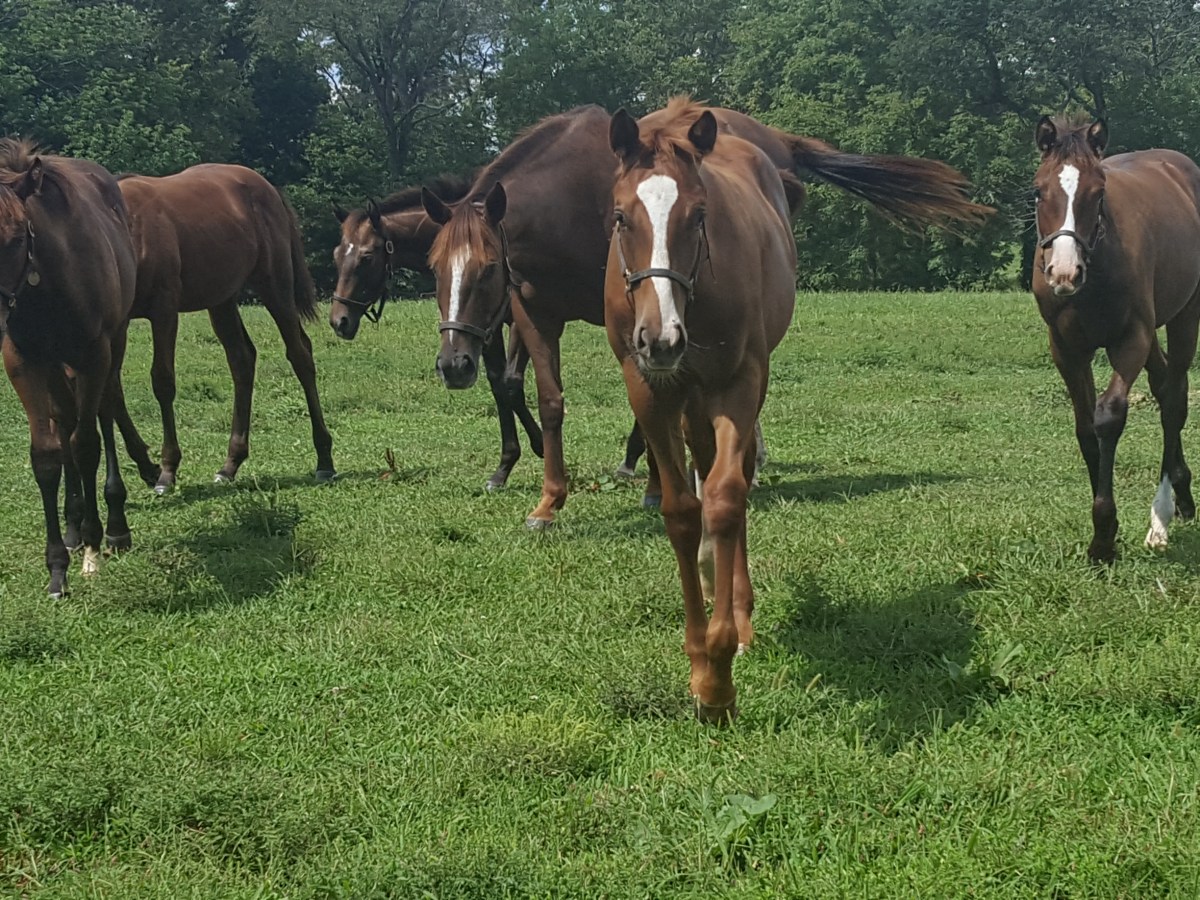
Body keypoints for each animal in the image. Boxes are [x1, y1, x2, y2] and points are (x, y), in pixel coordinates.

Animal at [0, 139, 145, 596]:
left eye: (15, 238)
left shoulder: (93, 354)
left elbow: (86, 445)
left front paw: (94, 549)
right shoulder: (23, 361)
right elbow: (47, 455)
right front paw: (57, 566)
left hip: (112, 344)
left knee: (103, 412)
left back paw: (113, 525)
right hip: (54, 366)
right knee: (63, 421)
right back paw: (72, 524)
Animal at [116, 164, 335, 490]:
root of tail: (267, 187)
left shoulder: (164, 310)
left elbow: (162, 382)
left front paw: (167, 469)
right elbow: (112, 396)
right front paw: (147, 466)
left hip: (275, 285)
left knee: (300, 354)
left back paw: (324, 460)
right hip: (222, 300)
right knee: (242, 359)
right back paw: (230, 463)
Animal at [421, 100, 990, 528]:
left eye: (486, 269)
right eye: (433, 267)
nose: (453, 365)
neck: (568, 202)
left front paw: (651, 482)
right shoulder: (534, 312)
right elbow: (547, 399)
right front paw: (546, 497)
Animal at [1032, 115, 1200, 561]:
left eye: (1099, 191)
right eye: (1038, 190)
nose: (1064, 272)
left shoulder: (1130, 339)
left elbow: (1108, 417)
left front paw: (1104, 537)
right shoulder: (1066, 348)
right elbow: (1085, 427)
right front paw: (1104, 532)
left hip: (1184, 315)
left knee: (1173, 399)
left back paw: (1161, 516)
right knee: (1163, 383)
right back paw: (1183, 492)